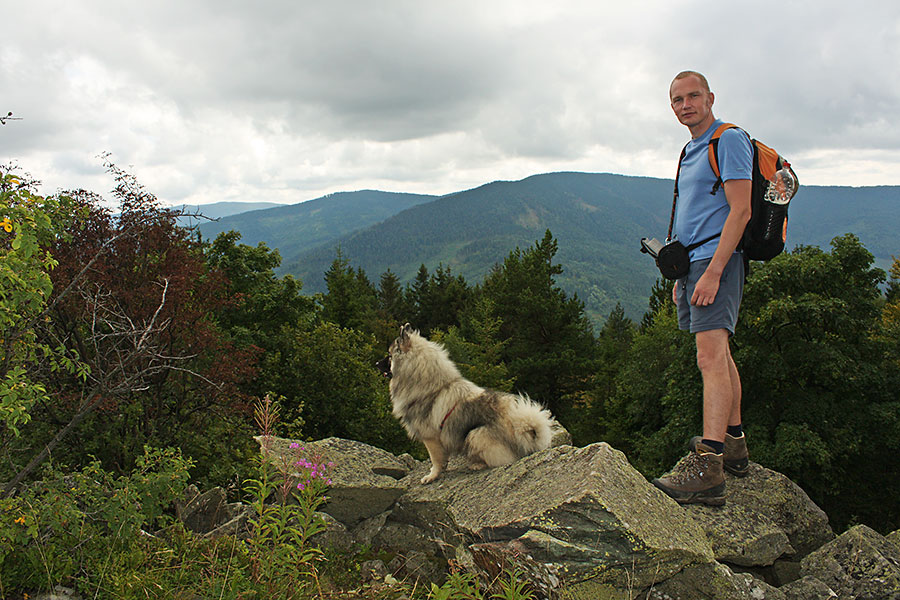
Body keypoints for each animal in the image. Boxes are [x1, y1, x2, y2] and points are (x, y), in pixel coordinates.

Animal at [374, 324, 556, 482]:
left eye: (389, 356)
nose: (376, 363)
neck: (432, 386)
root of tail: (526, 436)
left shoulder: (430, 437)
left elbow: (436, 460)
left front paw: (432, 476)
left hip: (475, 434)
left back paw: (477, 464)